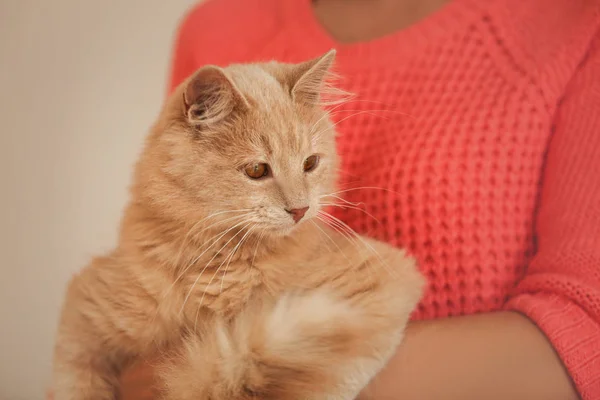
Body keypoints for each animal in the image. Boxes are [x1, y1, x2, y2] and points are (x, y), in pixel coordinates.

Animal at [54, 50, 424, 400]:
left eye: (310, 163)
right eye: (257, 170)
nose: (300, 209)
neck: (220, 266)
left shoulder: (377, 281)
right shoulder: (85, 309)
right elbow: (73, 380)